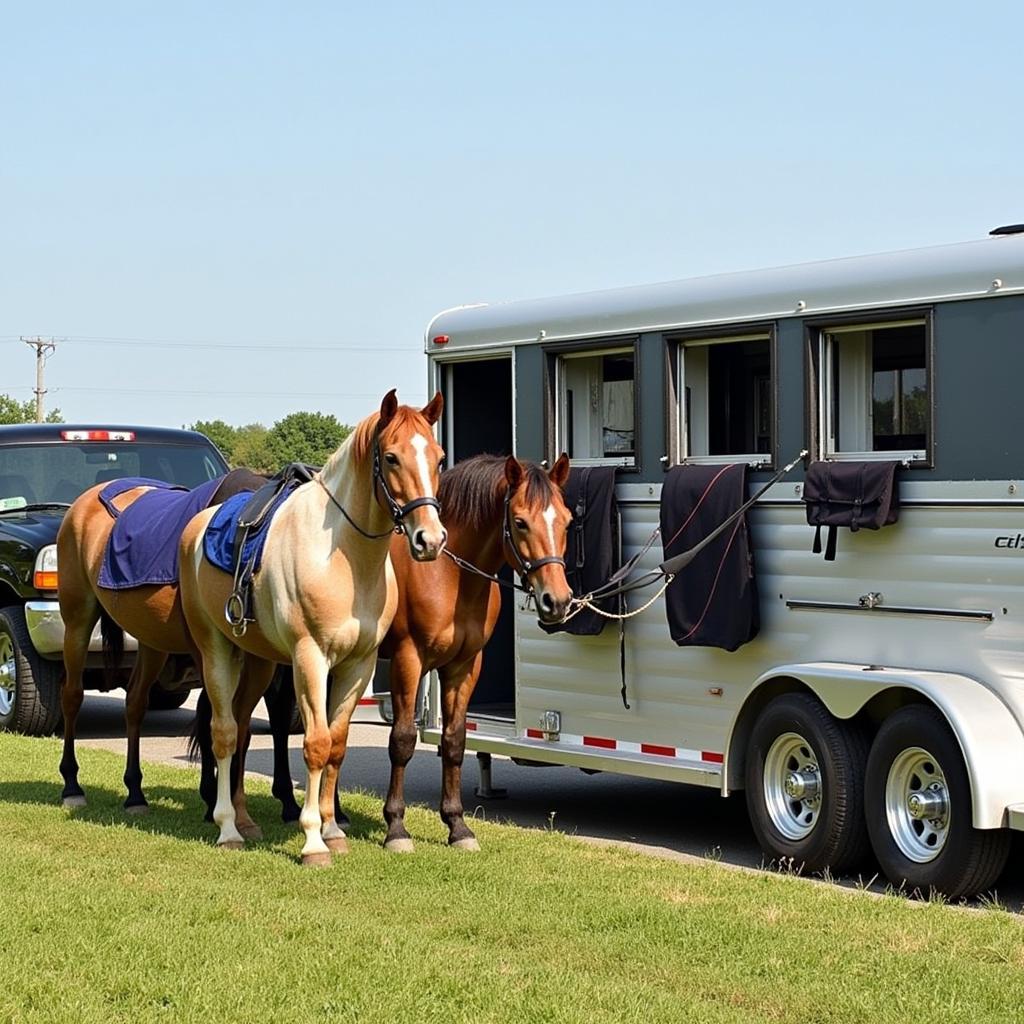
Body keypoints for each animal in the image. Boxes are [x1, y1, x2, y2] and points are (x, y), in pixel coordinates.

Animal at [56, 466, 268, 815]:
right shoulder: (206, 650)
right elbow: (210, 716)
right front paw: (212, 798)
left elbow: (238, 725)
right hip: (77, 621)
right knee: (72, 695)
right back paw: (72, 786)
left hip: (151, 642)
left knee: (134, 703)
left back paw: (135, 793)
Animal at [177, 389, 448, 864]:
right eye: (391, 457)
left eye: (438, 457)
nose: (429, 540)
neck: (345, 559)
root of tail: (197, 525)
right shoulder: (311, 659)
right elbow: (315, 745)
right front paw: (312, 841)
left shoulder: (358, 665)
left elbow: (336, 746)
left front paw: (333, 829)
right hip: (216, 652)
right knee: (224, 733)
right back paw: (227, 827)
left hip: (258, 663)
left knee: (242, 731)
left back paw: (245, 822)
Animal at [195, 452, 573, 851]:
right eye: (520, 522)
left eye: (567, 521)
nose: (557, 600)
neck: (446, 573)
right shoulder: (408, 659)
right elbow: (402, 740)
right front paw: (396, 827)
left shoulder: (465, 666)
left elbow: (455, 742)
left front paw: (458, 826)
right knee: (221, 715)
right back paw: (216, 804)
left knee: (281, 722)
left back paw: (302, 806)